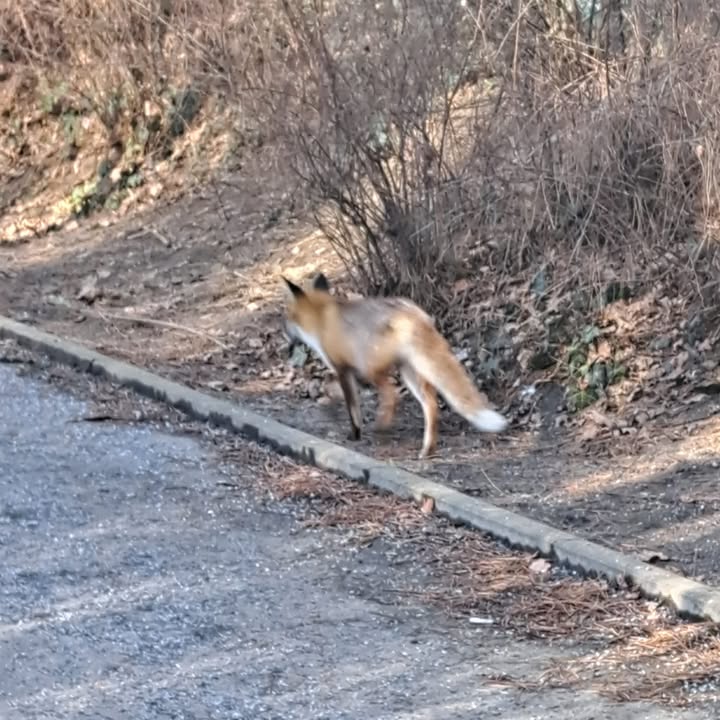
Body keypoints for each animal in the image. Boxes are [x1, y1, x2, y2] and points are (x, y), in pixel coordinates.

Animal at [281, 272, 508, 459]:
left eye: (289, 316)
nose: (284, 332)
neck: (321, 319)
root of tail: (414, 314)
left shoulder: (343, 368)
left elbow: (352, 407)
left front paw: (354, 433)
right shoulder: (347, 370)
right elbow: (337, 395)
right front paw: (329, 408)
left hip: (373, 368)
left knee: (393, 396)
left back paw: (382, 429)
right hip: (409, 372)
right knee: (430, 404)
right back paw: (427, 448)